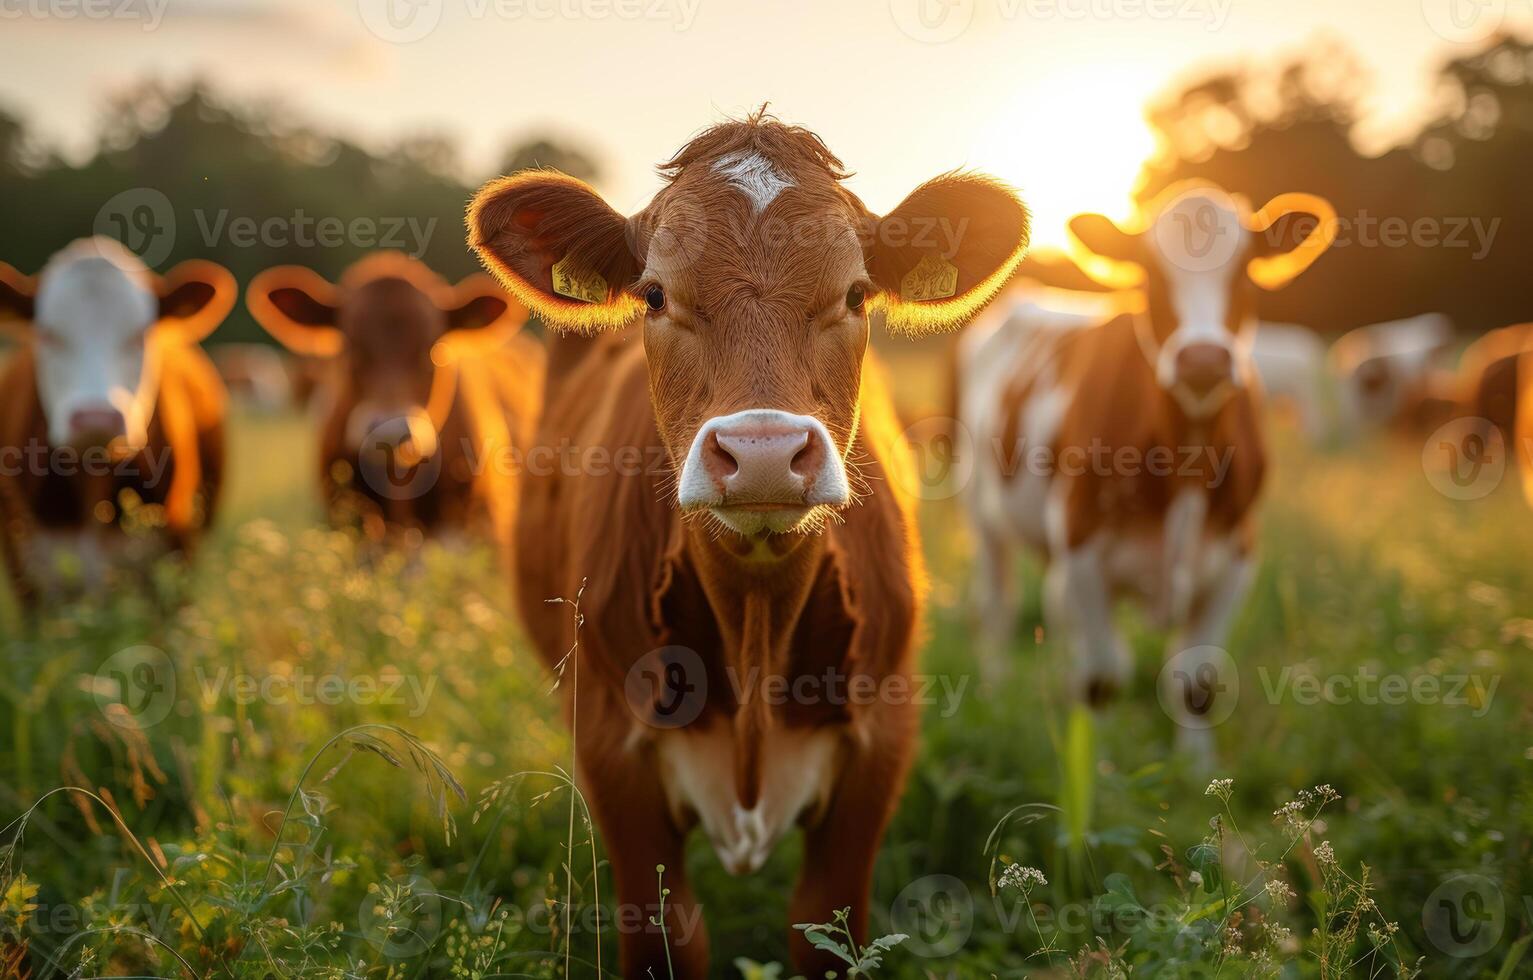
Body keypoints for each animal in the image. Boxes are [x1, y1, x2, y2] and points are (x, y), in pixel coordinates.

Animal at [466, 113, 1030, 975]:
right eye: (654, 294)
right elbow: (667, 938)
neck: (756, 623)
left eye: (855, 292)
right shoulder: (612, 752)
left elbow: (822, 932)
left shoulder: (879, 747)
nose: (762, 451)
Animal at [950, 184, 1336, 760]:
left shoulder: (1238, 556)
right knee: (998, 607)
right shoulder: (1081, 543)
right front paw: (1098, 765)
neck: (1187, 454)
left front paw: (1196, 770)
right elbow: (1103, 676)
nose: (1204, 359)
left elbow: (1196, 680)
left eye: (1245, 270)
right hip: (983, 514)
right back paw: (996, 689)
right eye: (1150, 273)